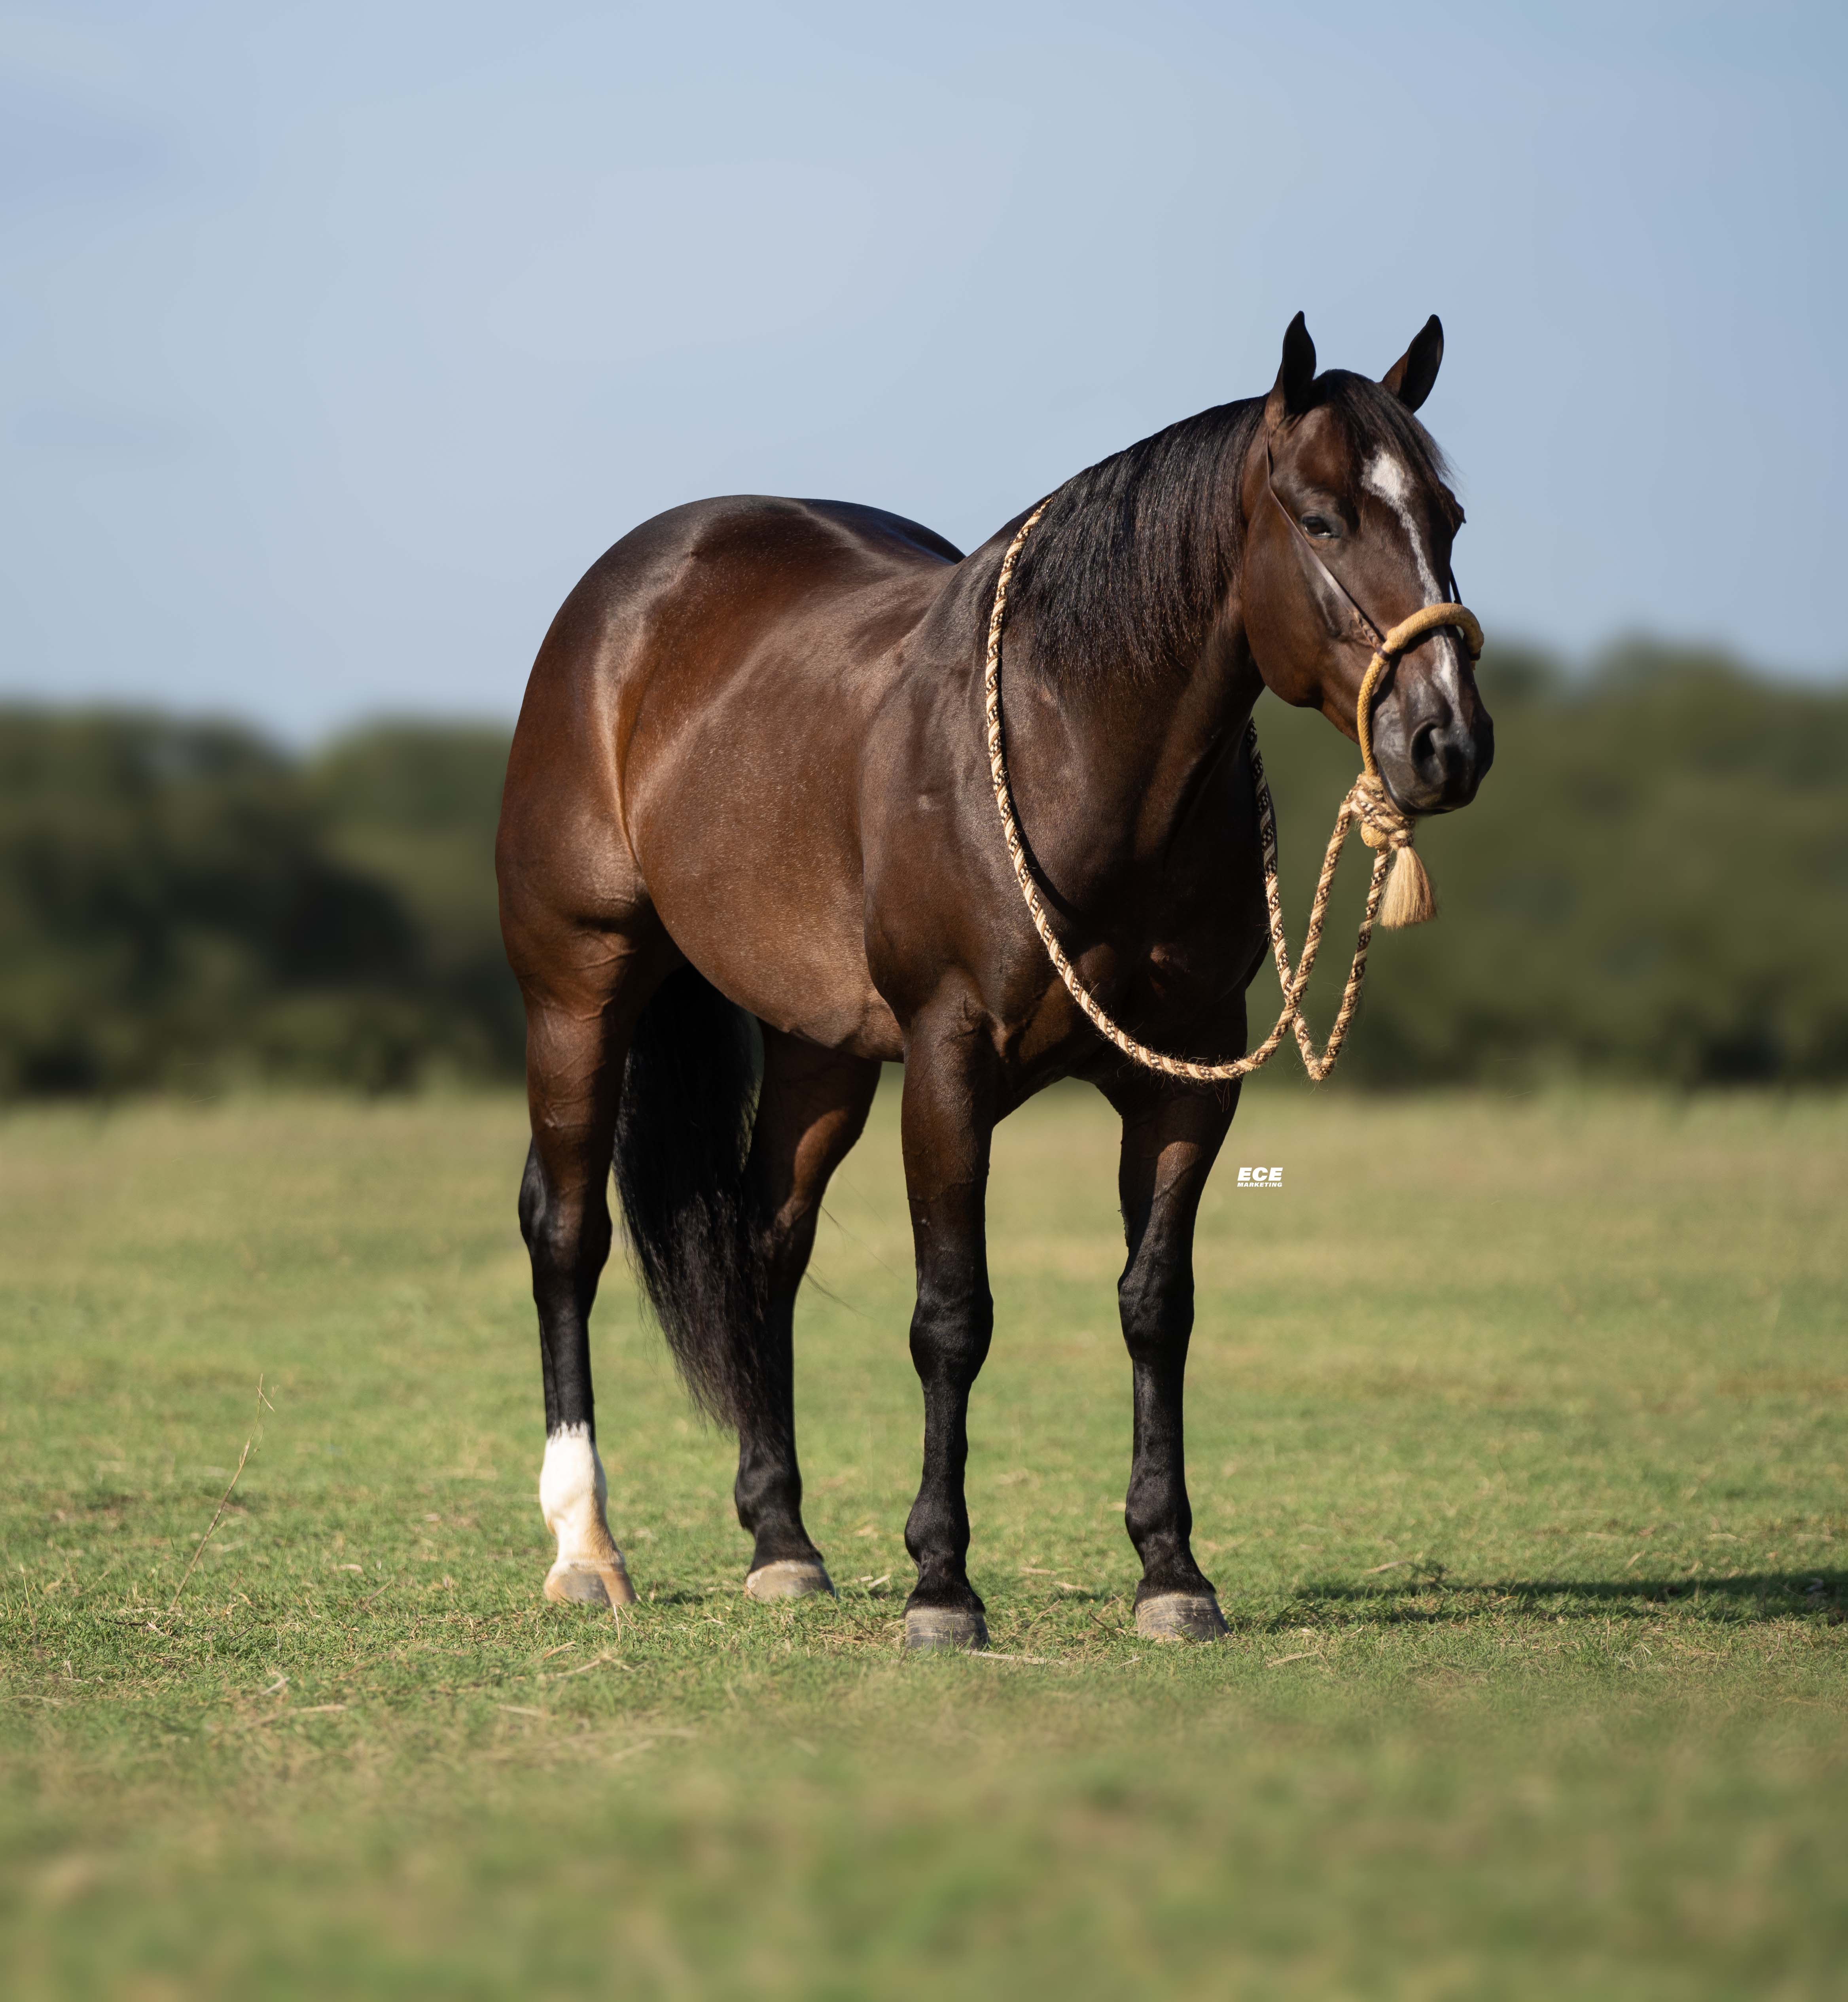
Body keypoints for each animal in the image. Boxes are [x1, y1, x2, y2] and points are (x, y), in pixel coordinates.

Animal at [490, 312, 1489, 1650]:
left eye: (1448, 514)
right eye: (1324, 518)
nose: (1447, 741)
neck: (1081, 746)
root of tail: (625, 595)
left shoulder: (1188, 1080)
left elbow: (1155, 1305)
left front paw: (1172, 1572)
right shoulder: (950, 1063)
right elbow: (952, 1315)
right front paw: (941, 1585)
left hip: (819, 1048)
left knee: (766, 1242)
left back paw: (783, 1541)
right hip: (580, 988)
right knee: (567, 1229)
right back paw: (586, 1545)